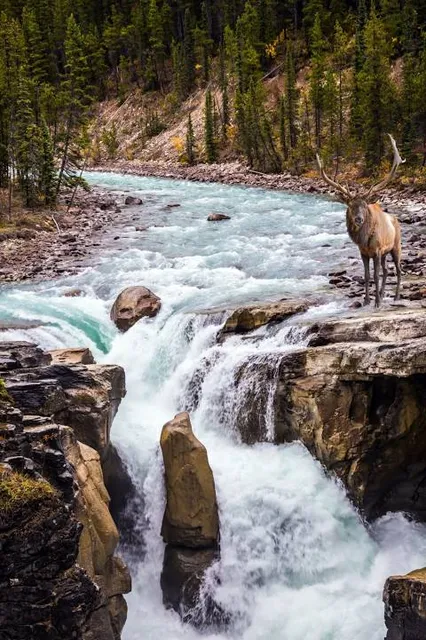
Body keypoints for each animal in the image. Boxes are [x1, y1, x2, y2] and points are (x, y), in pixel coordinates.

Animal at [316, 134, 405, 308]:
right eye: (350, 205)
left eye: (364, 205)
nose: (358, 218)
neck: (364, 240)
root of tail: (396, 220)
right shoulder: (363, 253)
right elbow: (367, 275)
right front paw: (367, 300)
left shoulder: (377, 250)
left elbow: (375, 275)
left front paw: (376, 302)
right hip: (385, 252)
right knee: (386, 270)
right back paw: (383, 294)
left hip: (395, 246)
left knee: (398, 270)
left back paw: (396, 296)